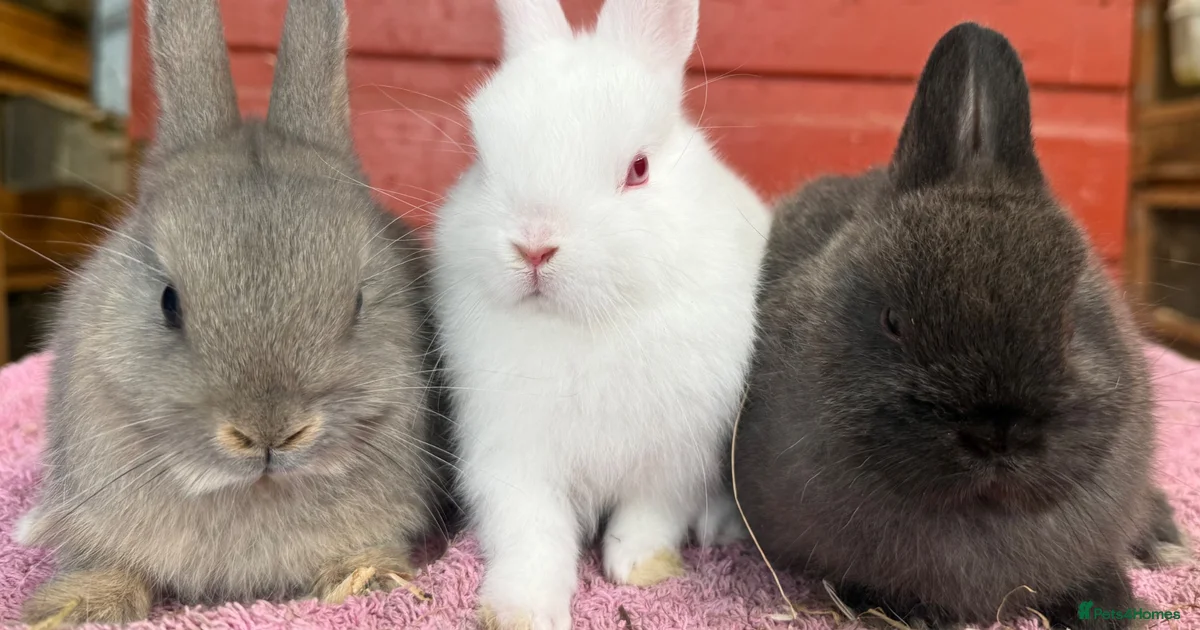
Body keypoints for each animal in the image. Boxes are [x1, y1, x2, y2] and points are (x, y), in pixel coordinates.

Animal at [429, 0, 770, 626]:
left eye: (638, 169)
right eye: (484, 163)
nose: (534, 246)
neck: (584, 324)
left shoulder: (676, 455)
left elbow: (649, 516)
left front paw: (638, 567)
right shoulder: (511, 457)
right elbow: (532, 536)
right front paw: (521, 608)